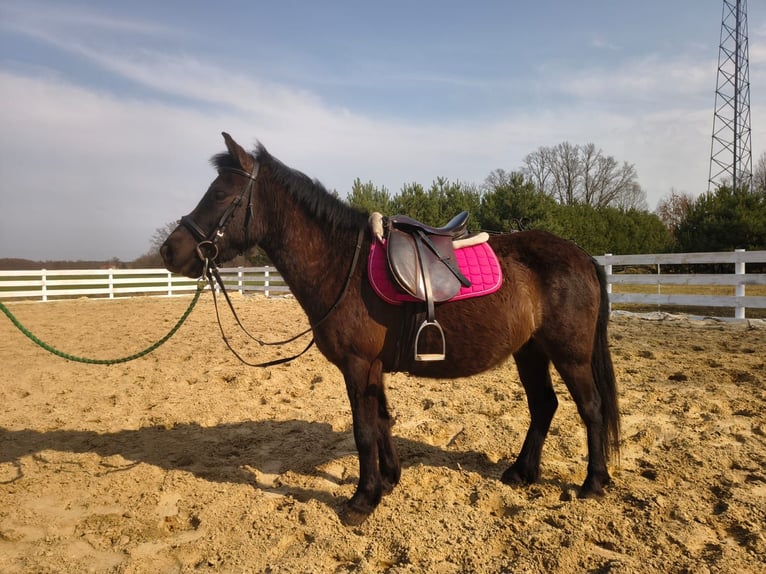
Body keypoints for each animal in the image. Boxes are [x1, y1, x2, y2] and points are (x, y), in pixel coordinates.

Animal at [160, 133, 620, 526]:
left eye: (220, 194)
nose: (169, 251)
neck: (341, 265)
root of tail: (582, 257)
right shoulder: (372, 366)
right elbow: (382, 420)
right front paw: (389, 479)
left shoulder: (358, 364)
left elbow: (363, 430)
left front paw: (362, 500)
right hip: (530, 351)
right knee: (544, 406)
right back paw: (522, 472)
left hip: (570, 355)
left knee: (591, 408)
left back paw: (593, 482)